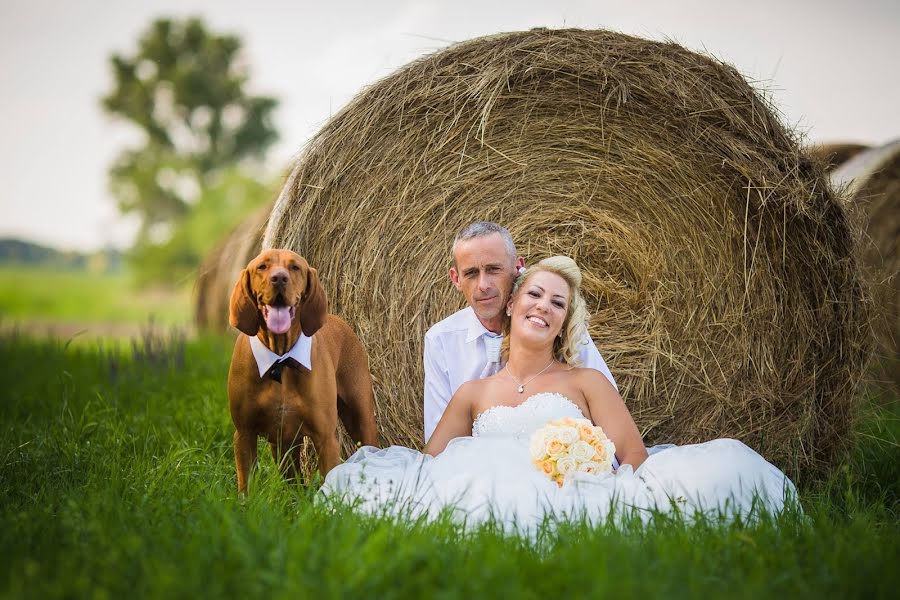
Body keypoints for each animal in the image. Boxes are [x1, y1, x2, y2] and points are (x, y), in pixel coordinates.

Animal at [229, 248, 380, 492]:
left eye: (295, 267)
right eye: (262, 266)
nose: (279, 278)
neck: (281, 359)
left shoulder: (325, 437)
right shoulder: (244, 434)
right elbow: (247, 486)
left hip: (361, 417)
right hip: (284, 442)